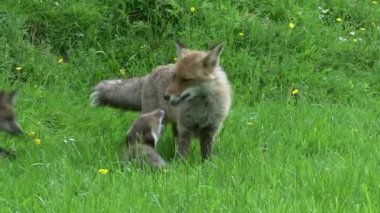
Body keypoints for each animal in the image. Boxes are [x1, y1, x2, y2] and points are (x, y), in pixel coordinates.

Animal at [92, 42, 233, 160]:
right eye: (174, 77)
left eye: (186, 80)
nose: (166, 96)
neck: (201, 109)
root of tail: (149, 74)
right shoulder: (185, 129)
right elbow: (183, 155)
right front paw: (182, 168)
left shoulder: (210, 131)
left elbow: (206, 156)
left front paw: (205, 167)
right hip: (156, 122)